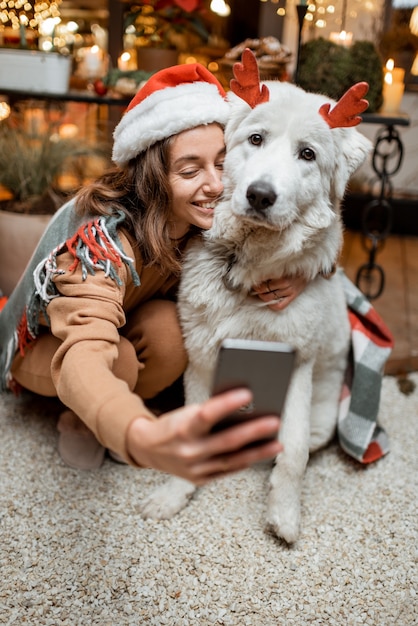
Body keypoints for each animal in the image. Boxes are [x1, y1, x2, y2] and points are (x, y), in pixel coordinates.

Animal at [141, 51, 372, 540]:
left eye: (307, 154)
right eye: (256, 139)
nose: (261, 195)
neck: (245, 267)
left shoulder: (297, 366)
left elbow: (294, 452)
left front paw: (284, 513)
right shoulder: (203, 358)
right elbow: (191, 434)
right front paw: (175, 493)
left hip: (324, 415)